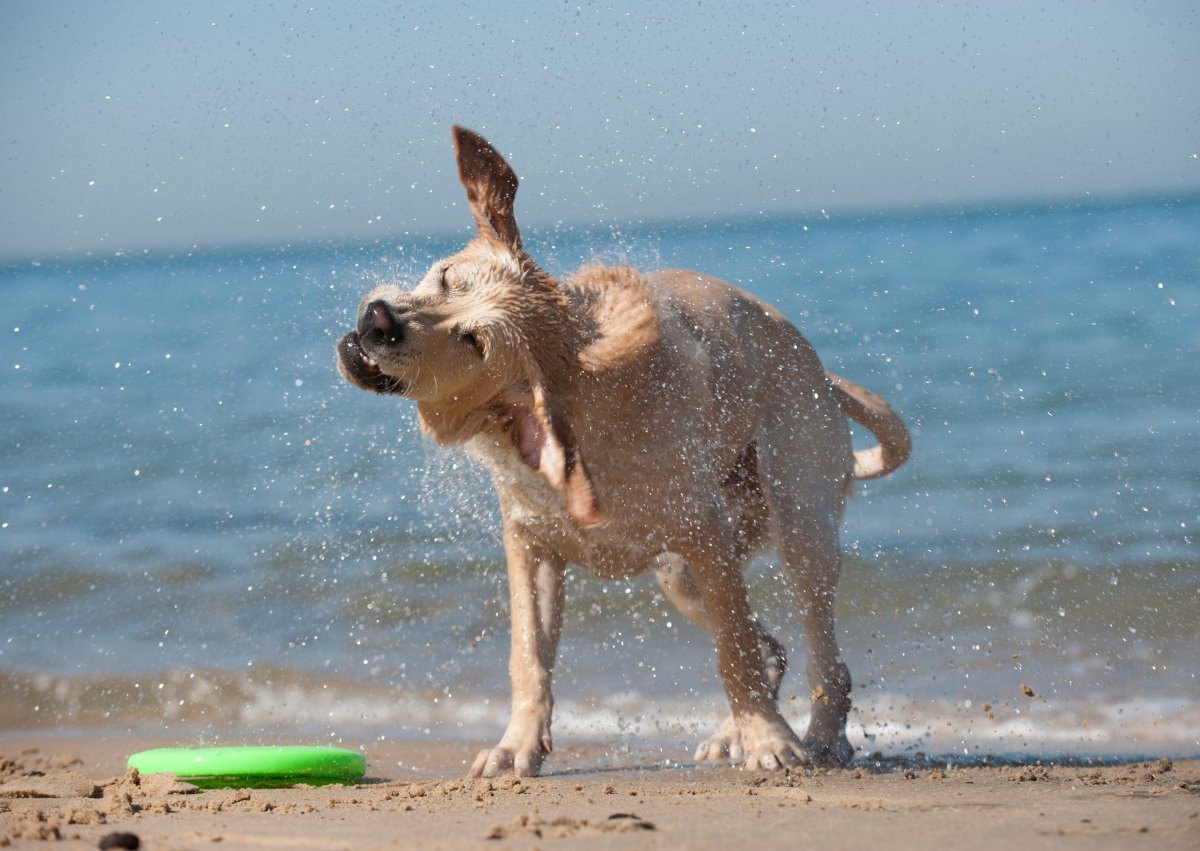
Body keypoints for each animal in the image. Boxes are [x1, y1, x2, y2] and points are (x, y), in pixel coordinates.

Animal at [338, 126, 907, 777]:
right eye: (447, 278)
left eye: (473, 342)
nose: (379, 320)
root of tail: (823, 376)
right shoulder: (531, 547)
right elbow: (529, 655)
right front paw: (516, 746)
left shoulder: (703, 534)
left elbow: (733, 651)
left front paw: (769, 741)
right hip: (679, 573)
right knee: (770, 645)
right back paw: (733, 732)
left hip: (796, 526)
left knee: (814, 654)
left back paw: (817, 739)